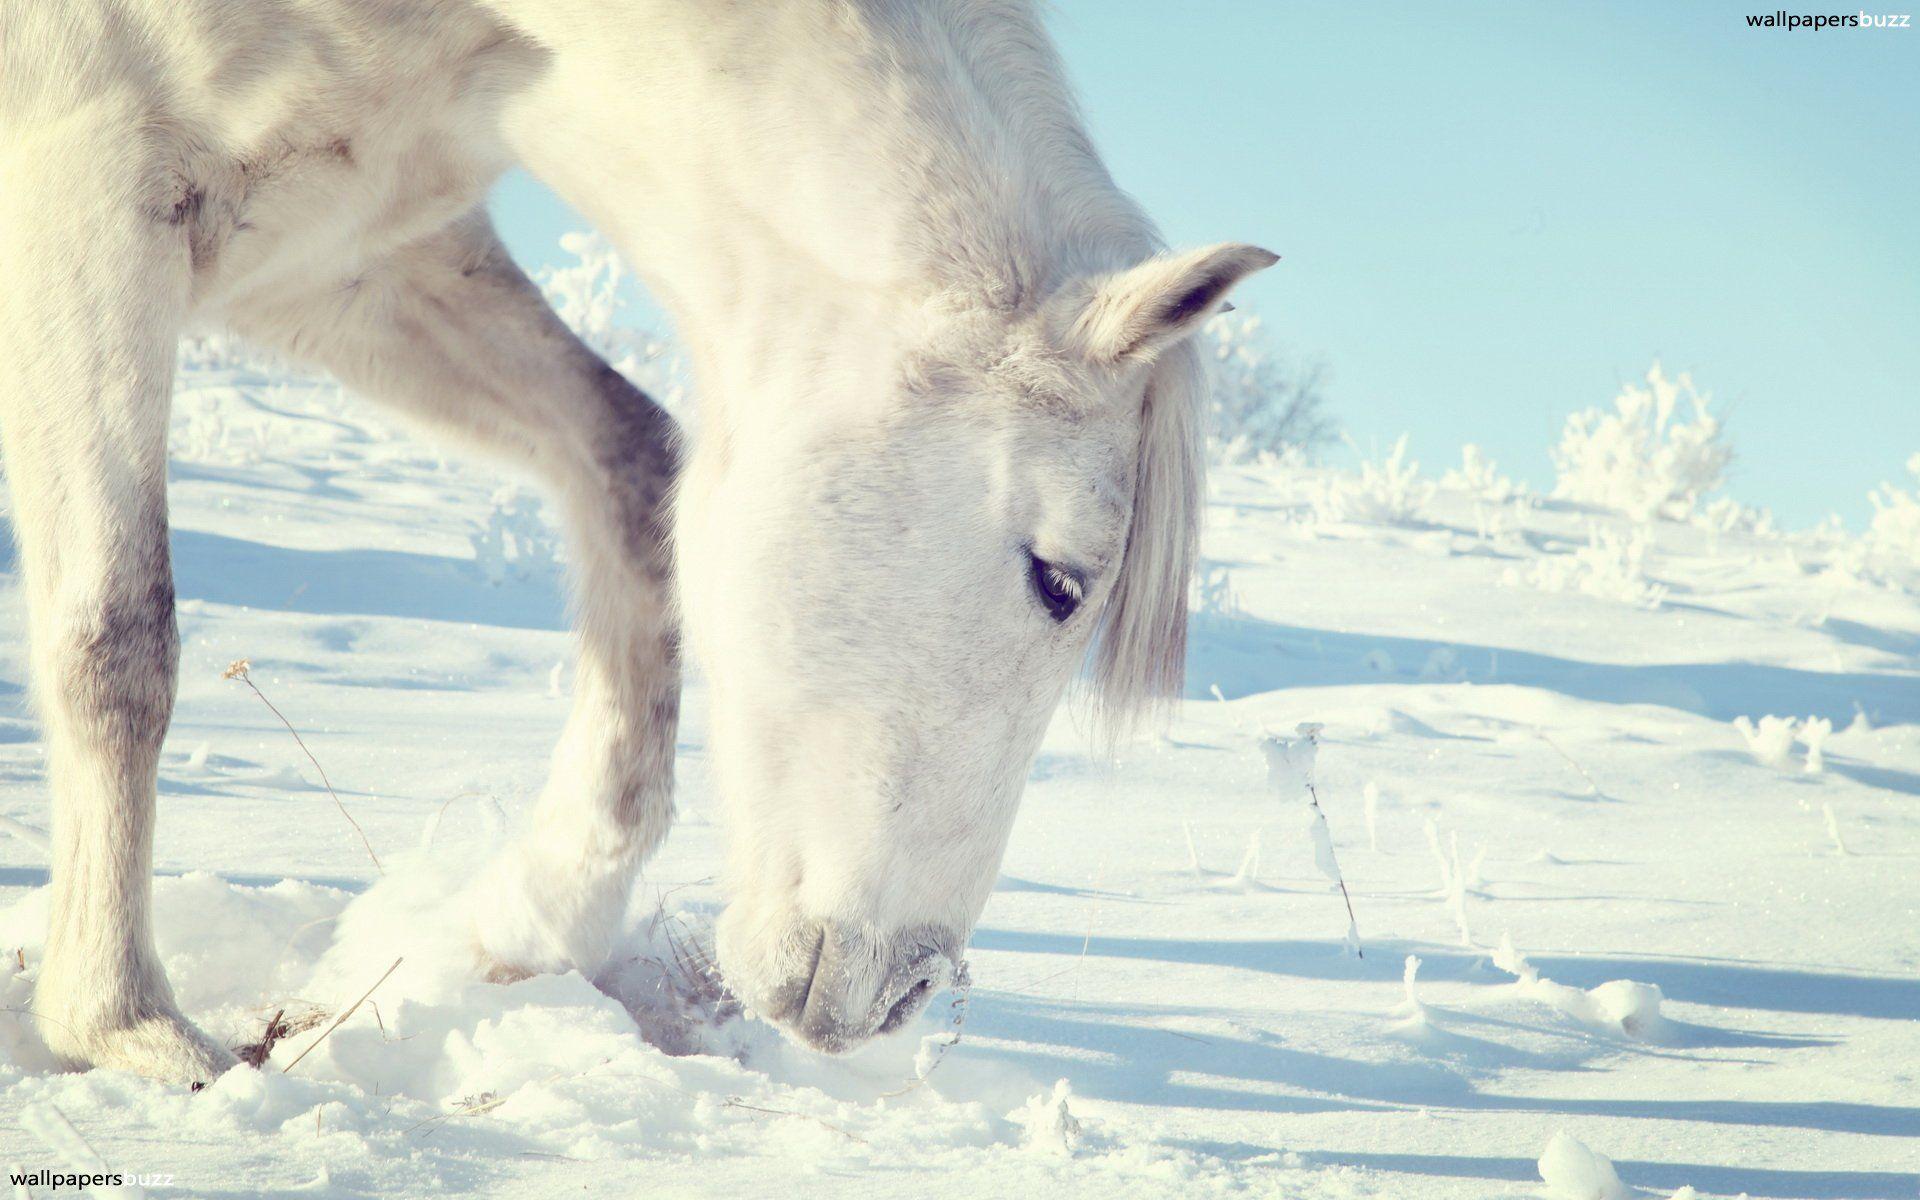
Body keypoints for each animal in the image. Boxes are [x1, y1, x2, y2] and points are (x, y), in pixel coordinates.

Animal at [0, 0, 1275, 1084]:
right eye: (1059, 580)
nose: (902, 994)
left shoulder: (341, 254)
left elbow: (633, 464)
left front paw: (528, 920)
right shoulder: (87, 191)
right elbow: (118, 636)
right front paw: (126, 1027)